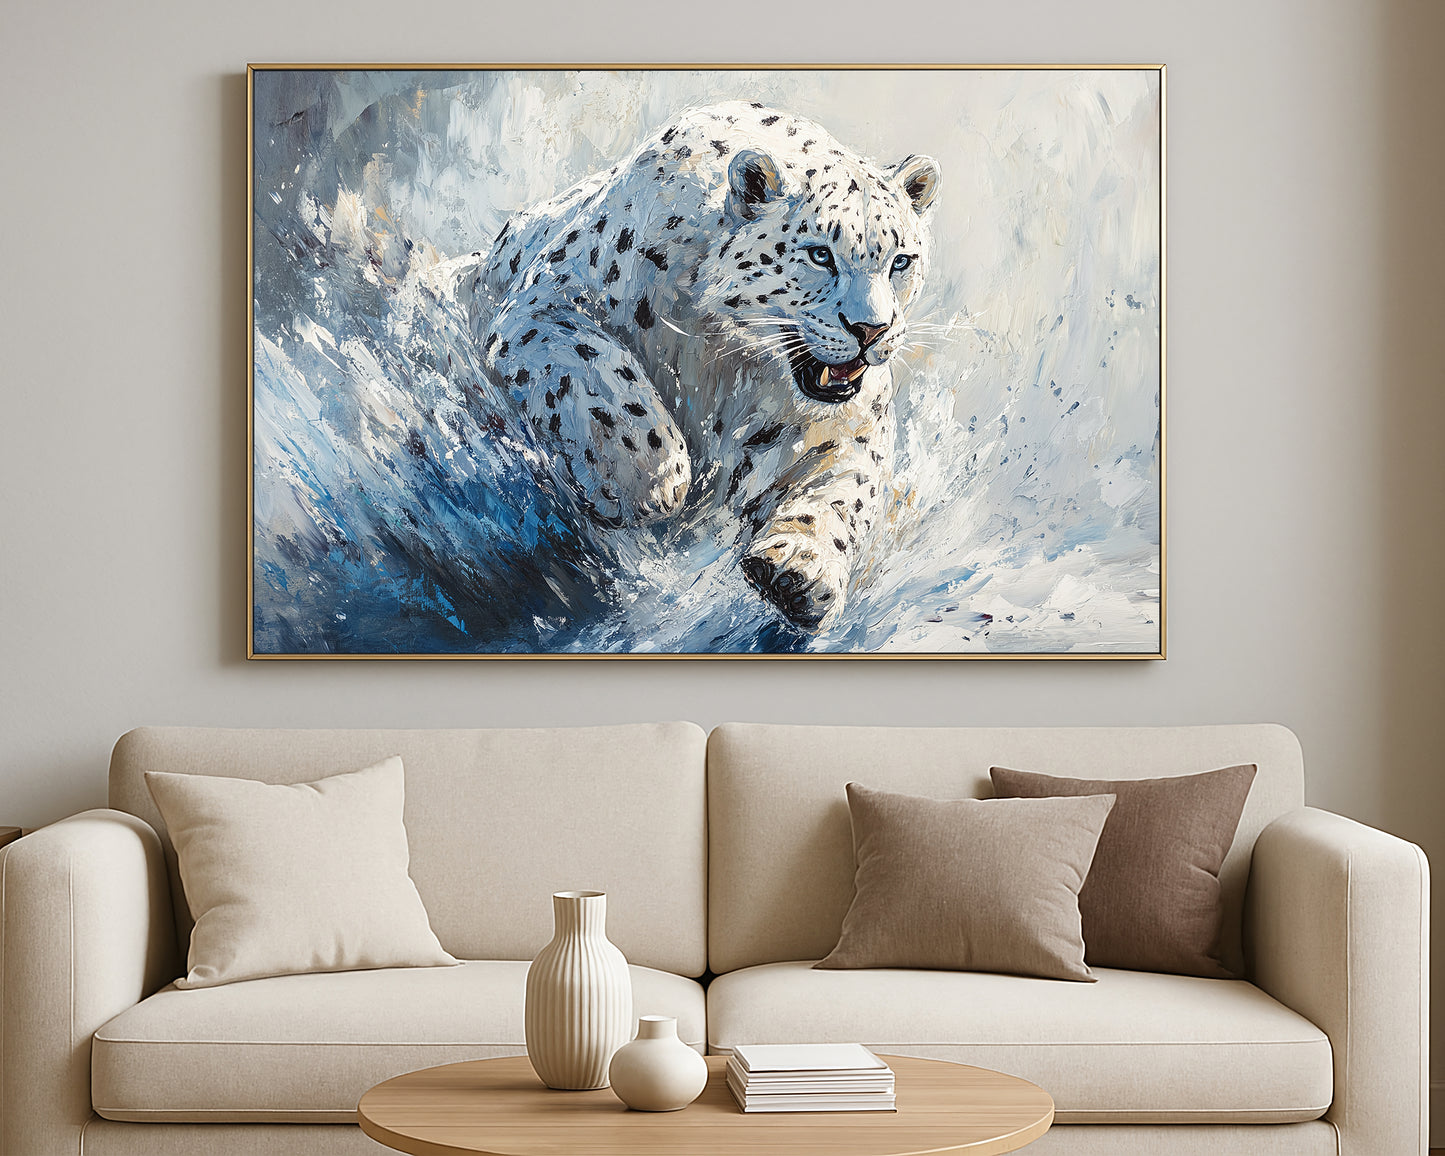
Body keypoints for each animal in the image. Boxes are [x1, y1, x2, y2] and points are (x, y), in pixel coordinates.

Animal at [442, 99, 941, 632]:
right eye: (820, 254)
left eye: (901, 261)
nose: (872, 330)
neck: (731, 365)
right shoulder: (545, 302)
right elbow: (595, 363)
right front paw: (649, 477)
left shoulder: (854, 423)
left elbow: (848, 490)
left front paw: (800, 572)